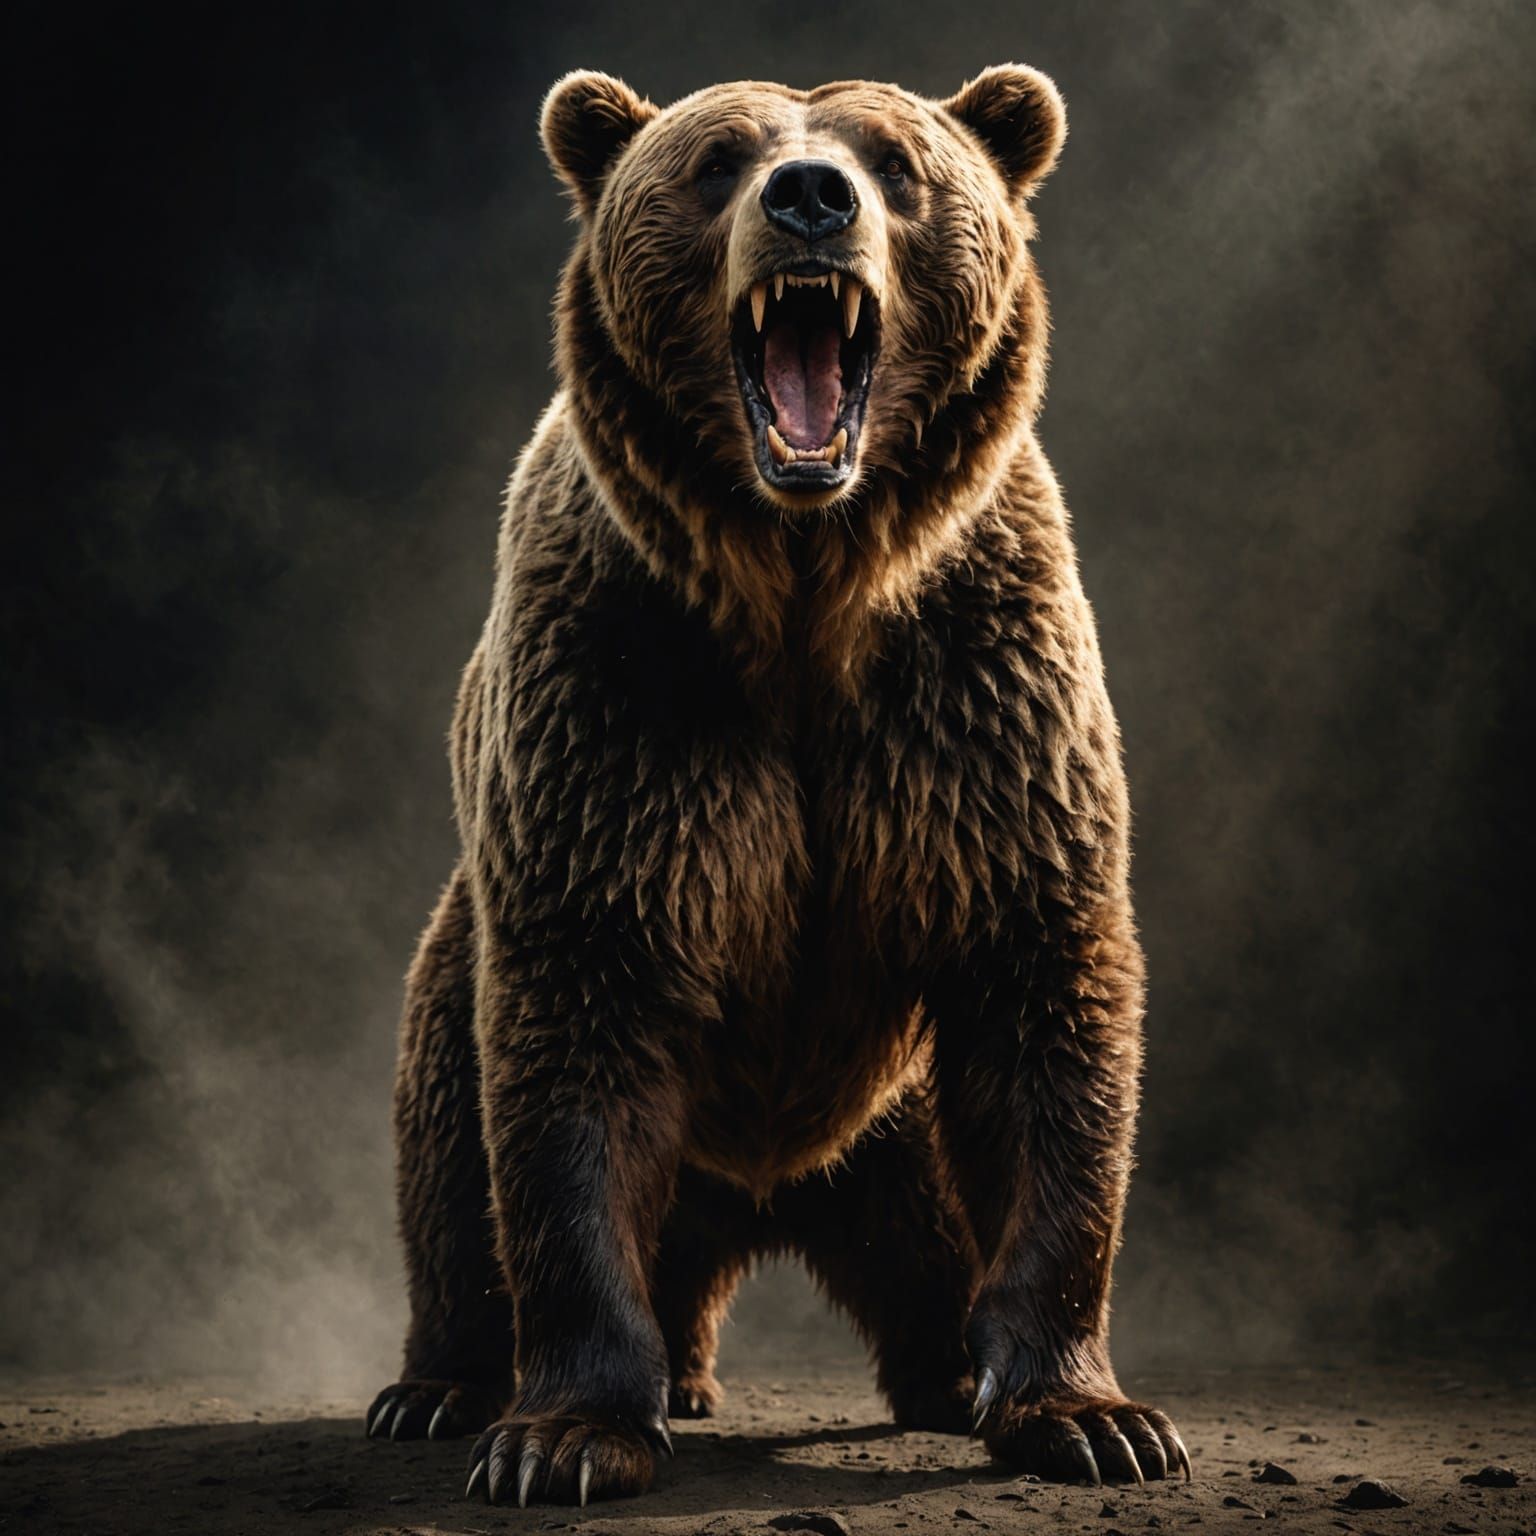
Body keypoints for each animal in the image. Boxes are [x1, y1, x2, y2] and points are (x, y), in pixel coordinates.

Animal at [363, 65, 1190, 1508]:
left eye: (899, 160)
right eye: (715, 161)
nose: (810, 198)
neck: (806, 585)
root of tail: (752, 1194)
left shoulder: (974, 715)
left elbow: (1044, 1009)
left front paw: (1093, 1416)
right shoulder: (623, 708)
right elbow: (576, 1050)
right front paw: (567, 1435)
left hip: (892, 1121)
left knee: (927, 1223)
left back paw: (936, 1373)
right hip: (459, 964)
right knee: (451, 1153)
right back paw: (451, 1385)